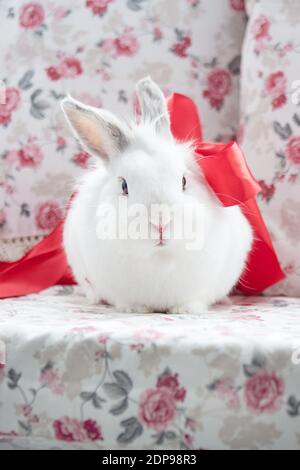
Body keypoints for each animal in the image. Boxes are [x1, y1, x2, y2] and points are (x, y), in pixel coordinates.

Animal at [59, 77, 252, 314]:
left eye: (184, 181)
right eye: (124, 186)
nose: (161, 223)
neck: (160, 258)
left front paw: (184, 310)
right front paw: (135, 309)